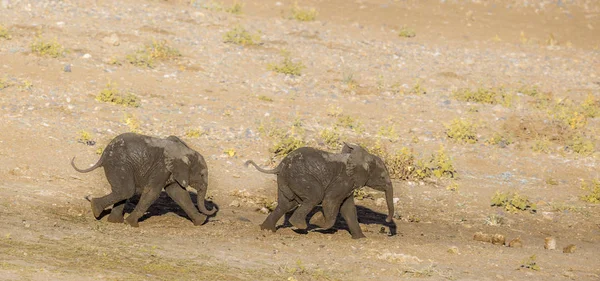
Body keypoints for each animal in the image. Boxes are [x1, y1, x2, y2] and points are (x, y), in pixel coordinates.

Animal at [71, 132, 216, 226]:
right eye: (202, 175)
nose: (212, 210)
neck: (185, 150)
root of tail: (103, 155)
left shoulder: (171, 171)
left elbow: (178, 193)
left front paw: (201, 221)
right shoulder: (161, 168)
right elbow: (152, 192)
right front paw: (131, 223)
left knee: (124, 191)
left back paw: (114, 221)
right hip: (119, 164)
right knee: (126, 191)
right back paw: (97, 210)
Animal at [246, 143, 396, 237]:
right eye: (382, 177)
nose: (387, 221)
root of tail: (279, 166)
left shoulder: (349, 185)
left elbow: (348, 209)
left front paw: (361, 238)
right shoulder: (343, 180)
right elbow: (330, 201)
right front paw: (319, 225)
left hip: (285, 180)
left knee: (286, 204)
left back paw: (267, 230)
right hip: (299, 177)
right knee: (314, 196)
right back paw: (300, 226)